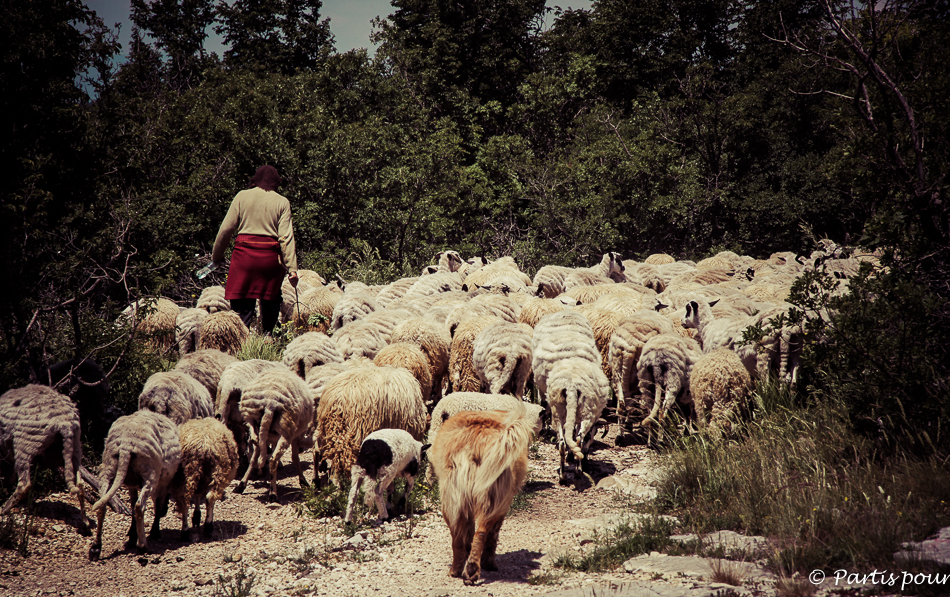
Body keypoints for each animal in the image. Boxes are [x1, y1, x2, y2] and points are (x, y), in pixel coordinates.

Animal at [0, 386, 89, 536]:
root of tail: (65, 422)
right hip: (76, 447)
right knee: (80, 484)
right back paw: (85, 523)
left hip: (25, 443)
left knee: (24, 484)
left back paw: (3, 509)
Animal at [88, 410, 181, 560]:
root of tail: (126, 444)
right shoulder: (164, 483)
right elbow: (158, 505)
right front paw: (154, 532)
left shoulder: (131, 485)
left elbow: (132, 505)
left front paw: (132, 535)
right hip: (149, 473)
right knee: (139, 506)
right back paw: (143, 546)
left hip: (108, 467)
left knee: (102, 505)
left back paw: (95, 548)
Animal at [236, 368, 314, 498]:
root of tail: (270, 402)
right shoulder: (295, 437)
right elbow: (295, 458)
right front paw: (303, 481)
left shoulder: (268, 437)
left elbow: (254, 457)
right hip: (286, 431)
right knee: (273, 459)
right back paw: (273, 493)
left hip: (250, 415)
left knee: (254, 441)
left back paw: (241, 485)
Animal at [432, 402, 544, 584]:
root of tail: (476, 440)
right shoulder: (504, 504)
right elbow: (492, 536)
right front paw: (488, 563)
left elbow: (468, 532)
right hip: (492, 499)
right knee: (482, 532)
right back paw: (473, 569)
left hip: (452, 499)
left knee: (457, 536)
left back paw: (457, 569)